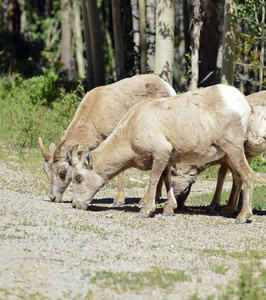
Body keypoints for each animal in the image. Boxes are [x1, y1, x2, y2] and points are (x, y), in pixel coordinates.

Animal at [37, 74, 175, 204]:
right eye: (45, 171)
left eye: (62, 172)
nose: (53, 198)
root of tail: (168, 86)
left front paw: (119, 200)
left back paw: (144, 200)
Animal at [70, 84, 254, 223]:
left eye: (78, 177)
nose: (74, 205)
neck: (131, 128)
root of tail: (244, 104)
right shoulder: (167, 157)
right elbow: (166, 180)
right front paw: (169, 209)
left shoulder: (160, 153)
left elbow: (154, 179)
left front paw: (145, 210)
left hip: (233, 148)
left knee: (247, 175)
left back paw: (243, 216)